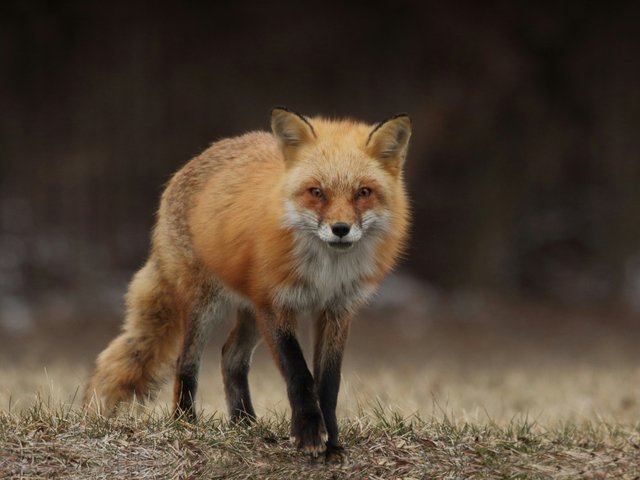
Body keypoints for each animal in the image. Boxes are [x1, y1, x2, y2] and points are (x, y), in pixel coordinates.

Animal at [85, 108, 412, 462]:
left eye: (363, 192)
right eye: (316, 192)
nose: (341, 229)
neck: (326, 271)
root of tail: (196, 159)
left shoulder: (336, 310)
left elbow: (328, 383)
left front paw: (333, 442)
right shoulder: (276, 304)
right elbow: (299, 374)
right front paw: (309, 434)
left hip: (251, 312)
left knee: (230, 357)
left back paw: (244, 423)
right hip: (208, 306)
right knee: (186, 362)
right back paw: (186, 423)